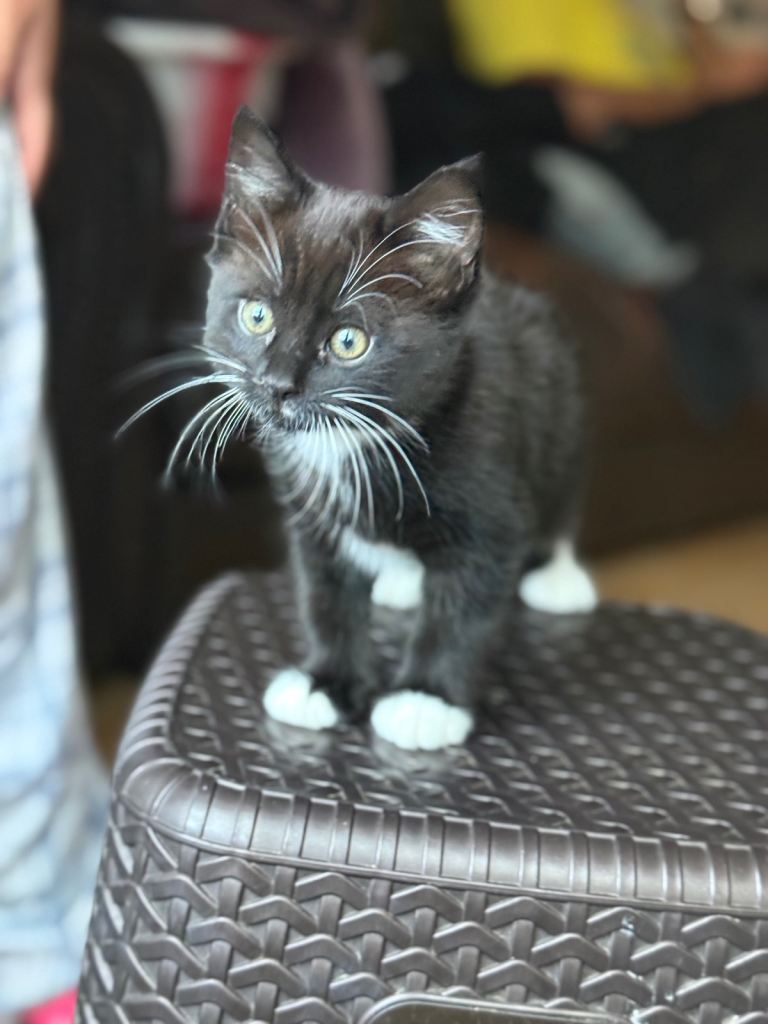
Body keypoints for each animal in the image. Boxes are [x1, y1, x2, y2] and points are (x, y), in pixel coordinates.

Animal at [203, 106, 597, 751]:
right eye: (256, 316)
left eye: (349, 341)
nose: (277, 385)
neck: (355, 443)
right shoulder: (311, 513)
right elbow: (325, 593)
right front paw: (327, 681)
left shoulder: (492, 509)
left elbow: (464, 607)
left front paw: (425, 699)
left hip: (561, 404)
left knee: (562, 495)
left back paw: (560, 578)